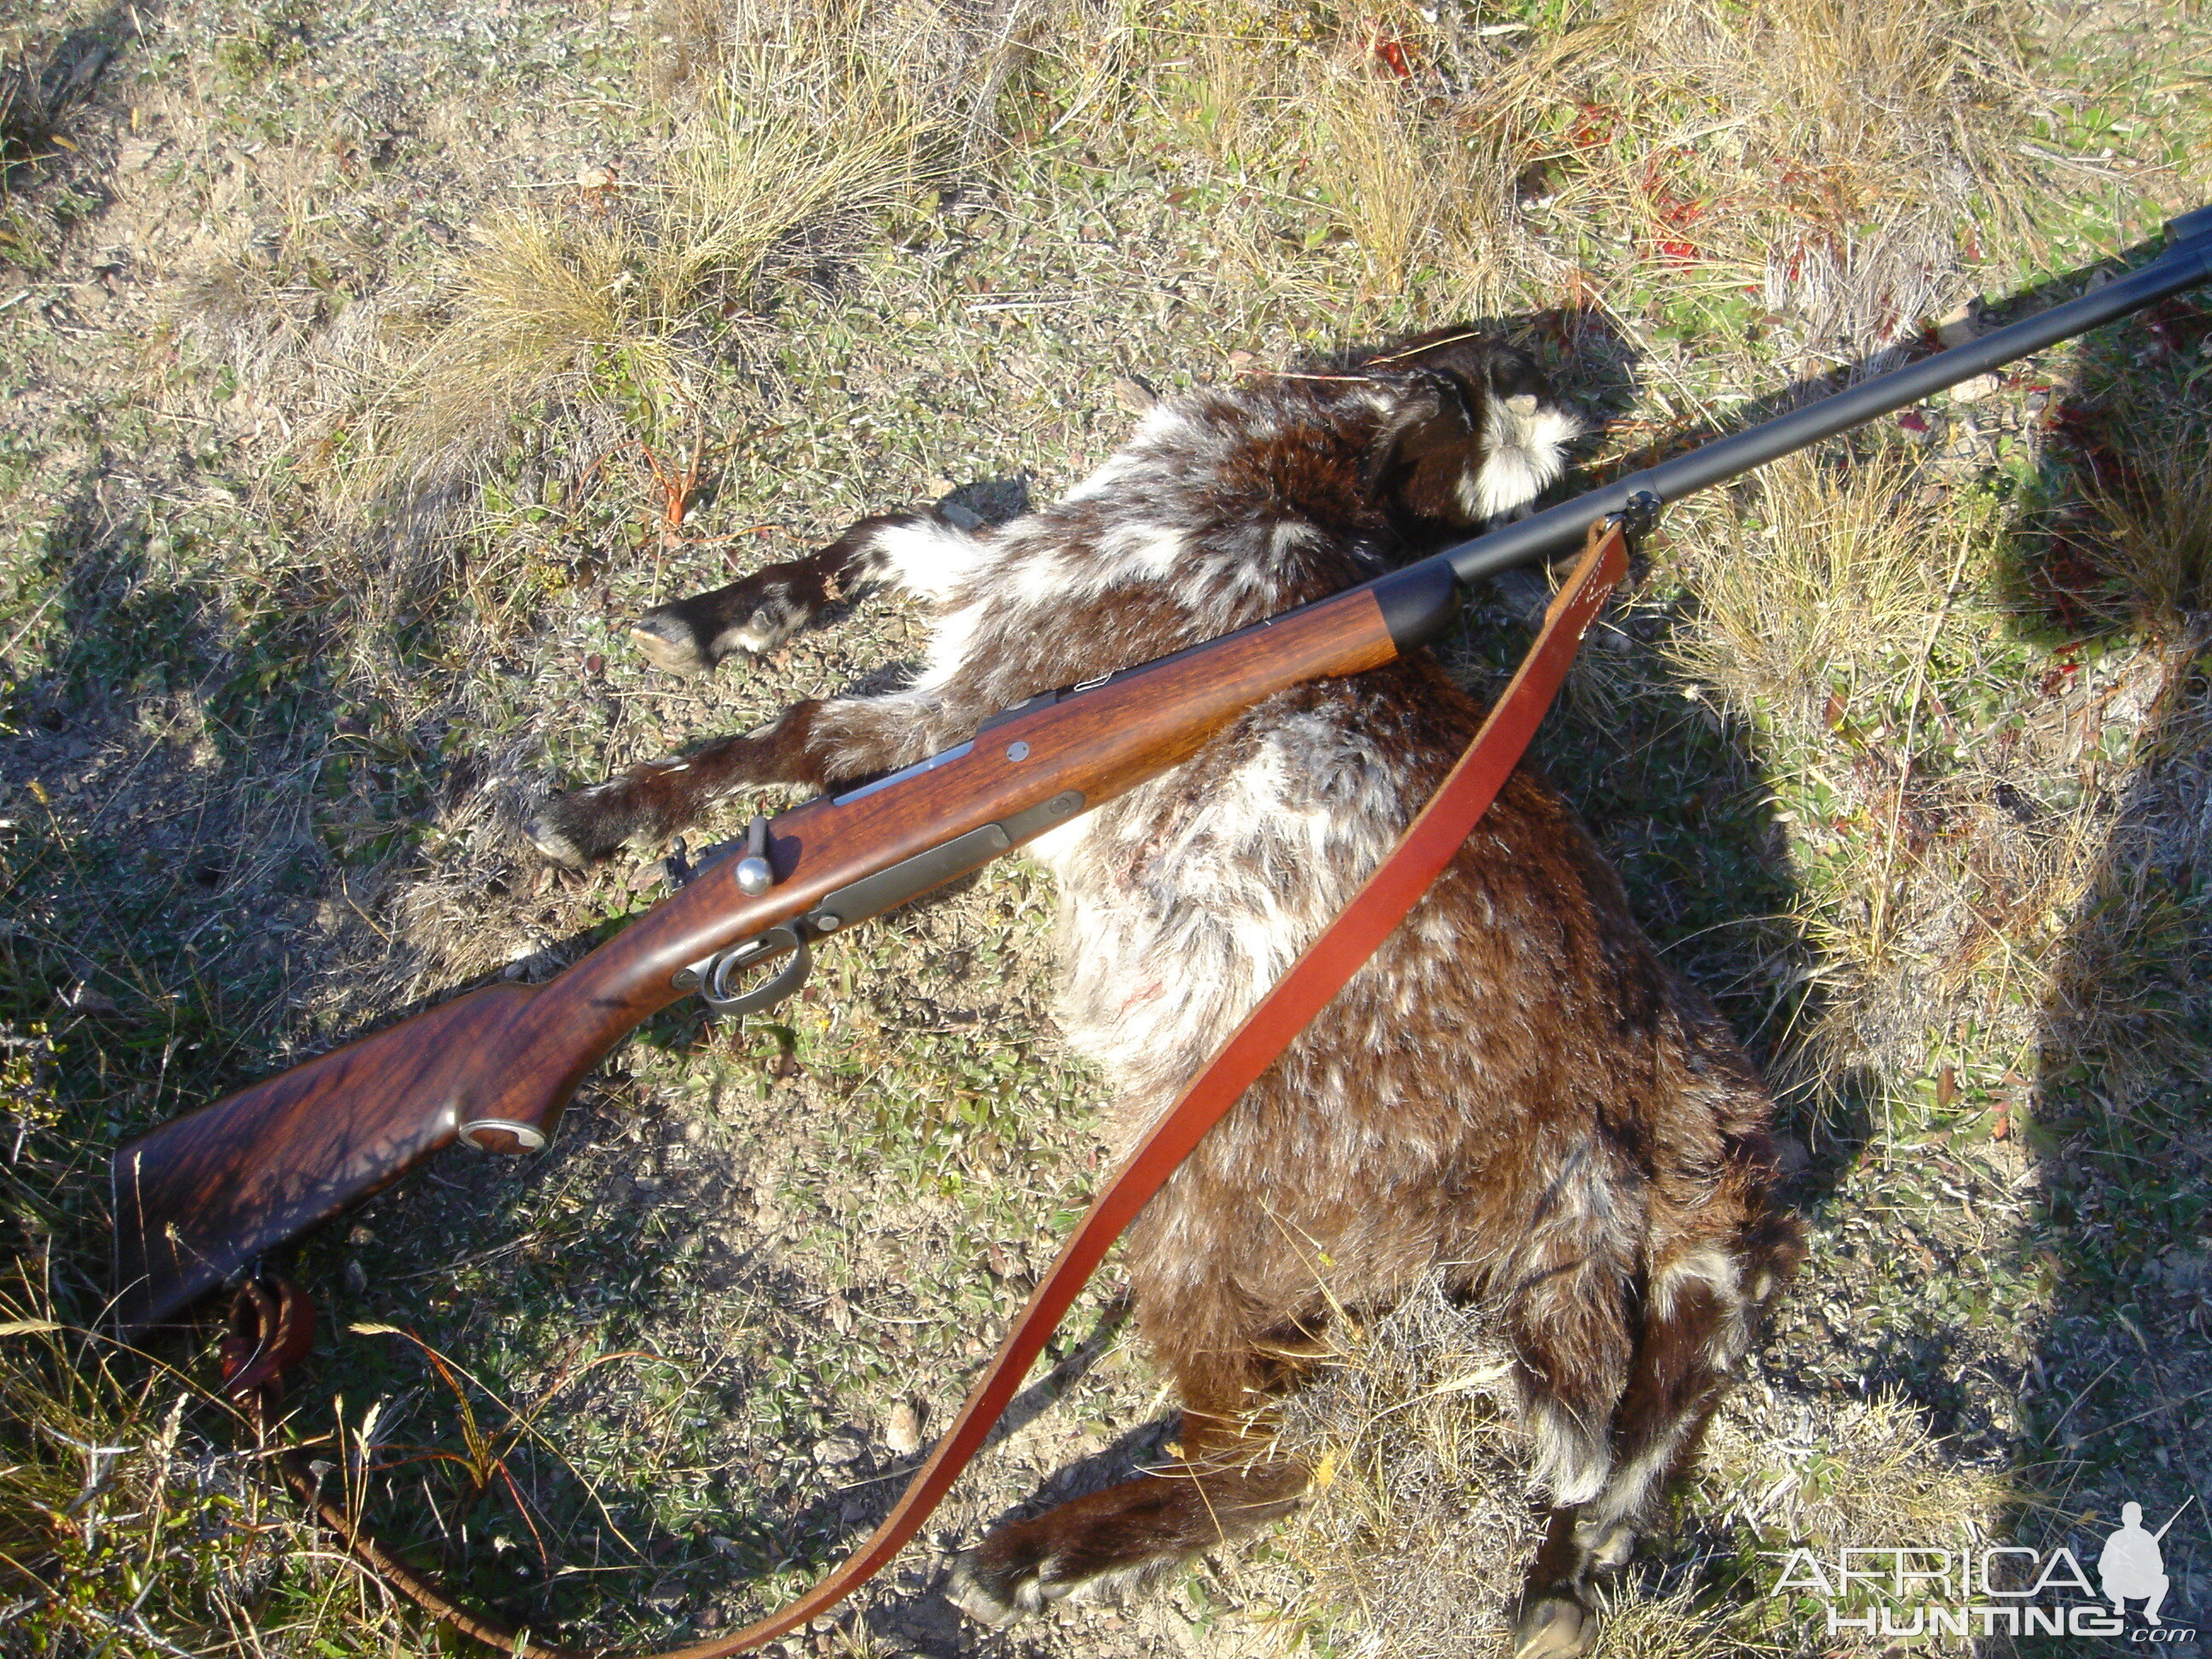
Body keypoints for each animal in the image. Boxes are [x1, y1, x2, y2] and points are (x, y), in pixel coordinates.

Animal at [526, 331, 1805, 1654]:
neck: (1284, 486)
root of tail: (1614, 1117)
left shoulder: (971, 697)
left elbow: (799, 734)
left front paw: (604, 815)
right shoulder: (992, 589)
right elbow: (889, 532)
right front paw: (712, 621)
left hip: (1208, 1211)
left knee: (1282, 1456)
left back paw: (1036, 1559)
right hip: (1708, 1229)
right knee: (1640, 1435)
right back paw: (1567, 1577)